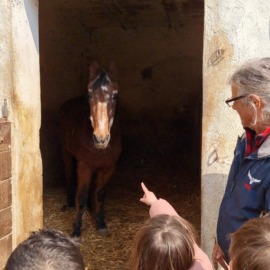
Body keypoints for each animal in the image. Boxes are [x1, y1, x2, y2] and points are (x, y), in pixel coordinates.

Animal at [60, 61, 122, 236]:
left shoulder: (108, 168)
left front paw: (101, 223)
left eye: (115, 95)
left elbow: (100, 194)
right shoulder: (84, 166)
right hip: (66, 153)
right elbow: (81, 195)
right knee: (69, 175)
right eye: (89, 95)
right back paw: (69, 202)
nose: (101, 138)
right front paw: (76, 229)